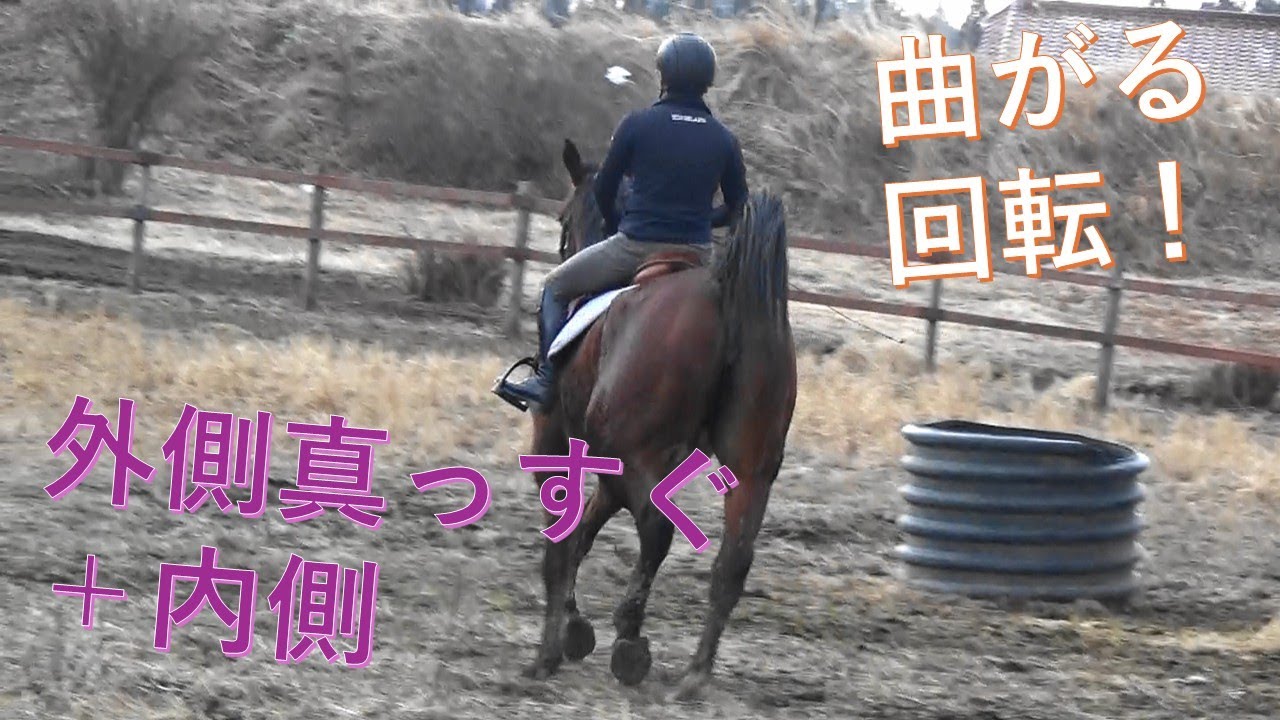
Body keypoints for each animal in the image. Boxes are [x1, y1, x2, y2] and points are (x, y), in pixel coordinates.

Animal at [515, 138, 797, 701]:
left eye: (562, 217)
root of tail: (722, 296)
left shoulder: (565, 448)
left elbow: (564, 542)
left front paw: (554, 647)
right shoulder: (616, 469)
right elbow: (585, 533)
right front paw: (576, 629)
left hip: (640, 456)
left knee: (657, 529)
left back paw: (630, 641)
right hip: (752, 467)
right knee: (734, 558)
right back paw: (694, 675)